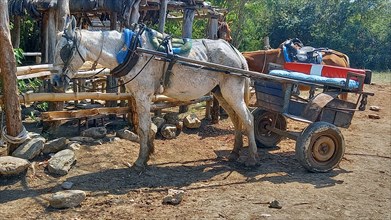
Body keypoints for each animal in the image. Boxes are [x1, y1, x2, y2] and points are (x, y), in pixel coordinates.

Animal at [51, 16, 260, 170]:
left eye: (64, 49)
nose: (54, 81)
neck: (131, 50)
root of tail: (236, 52)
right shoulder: (137, 96)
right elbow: (146, 127)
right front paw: (148, 154)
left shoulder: (143, 95)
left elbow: (144, 128)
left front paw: (140, 161)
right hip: (221, 93)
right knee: (236, 119)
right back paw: (234, 152)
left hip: (232, 92)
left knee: (248, 119)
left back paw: (252, 158)